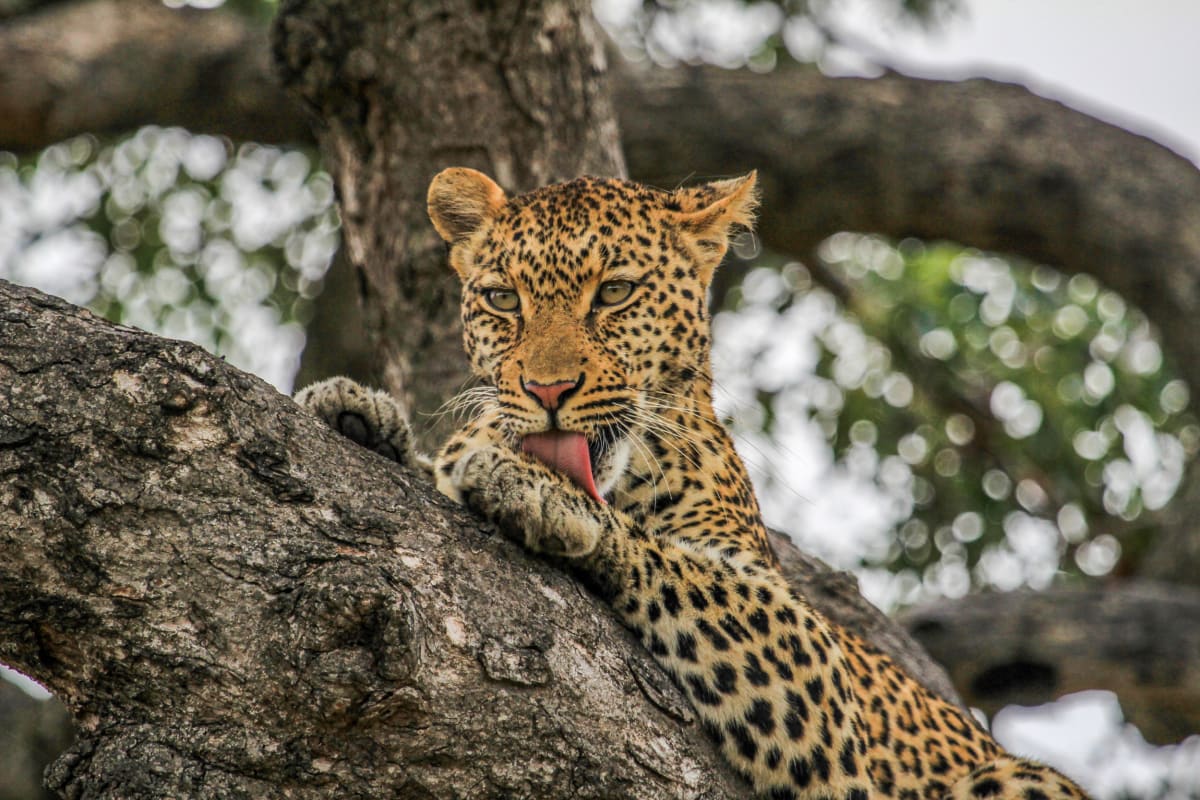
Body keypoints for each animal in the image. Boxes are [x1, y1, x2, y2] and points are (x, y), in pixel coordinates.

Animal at [296, 168, 1093, 800]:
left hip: (1021, 776)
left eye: (614, 293)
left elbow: (671, 559)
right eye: (502, 299)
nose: (547, 389)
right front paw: (357, 415)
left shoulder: (812, 668)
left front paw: (541, 494)